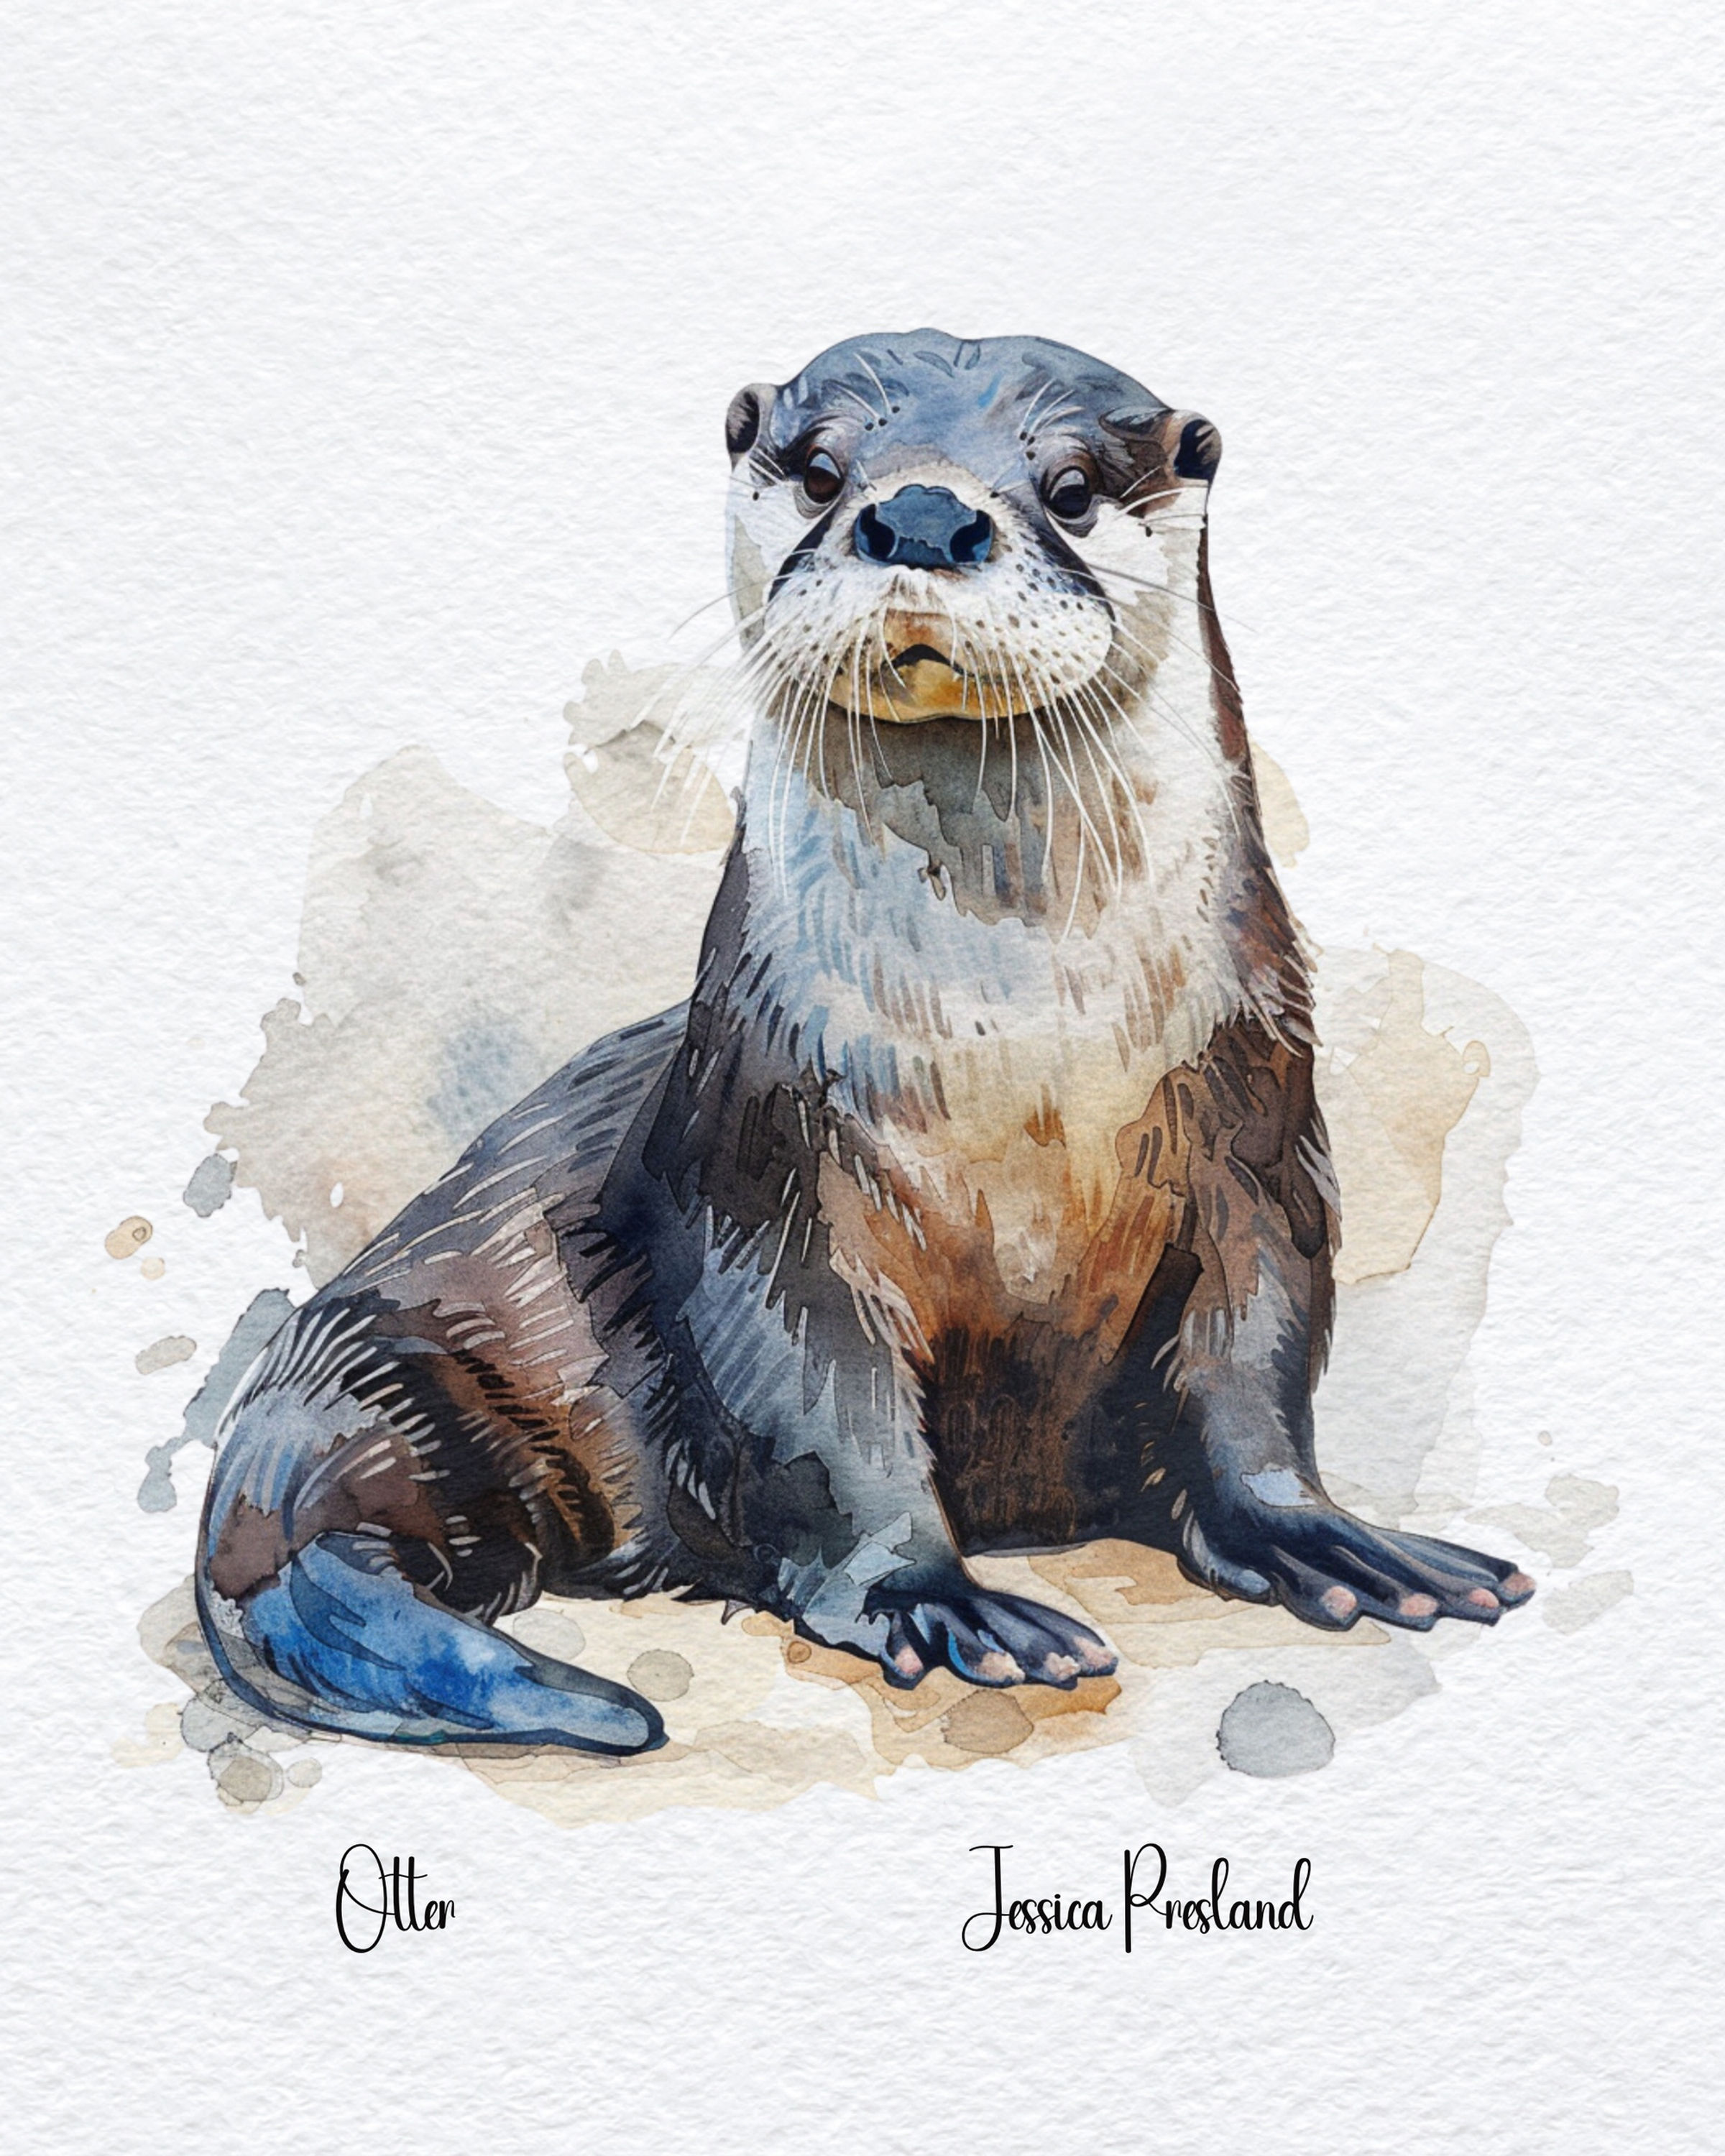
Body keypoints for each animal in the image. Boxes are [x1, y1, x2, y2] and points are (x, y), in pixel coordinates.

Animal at [196, 330, 1533, 1754]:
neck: (1020, 1050)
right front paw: (929, 1600)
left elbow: (1254, 1360)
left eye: (1070, 487)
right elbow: (819, 1404)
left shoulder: (1257, 1131)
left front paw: (1320, 1539)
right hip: (383, 1367)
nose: (927, 513)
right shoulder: (759, 1154)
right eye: (825, 469)